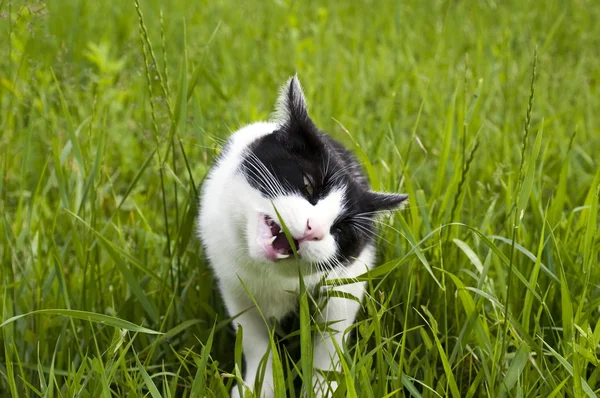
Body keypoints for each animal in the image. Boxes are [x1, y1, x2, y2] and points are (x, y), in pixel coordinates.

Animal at [198, 76, 408, 396]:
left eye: (340, 229)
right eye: (308, 185)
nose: (315, 229)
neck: (271, 276)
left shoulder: (348, 283)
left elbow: (329, 345)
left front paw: (323, 388)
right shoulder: (235, 287)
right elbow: (255, 341)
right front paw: (258, 386)